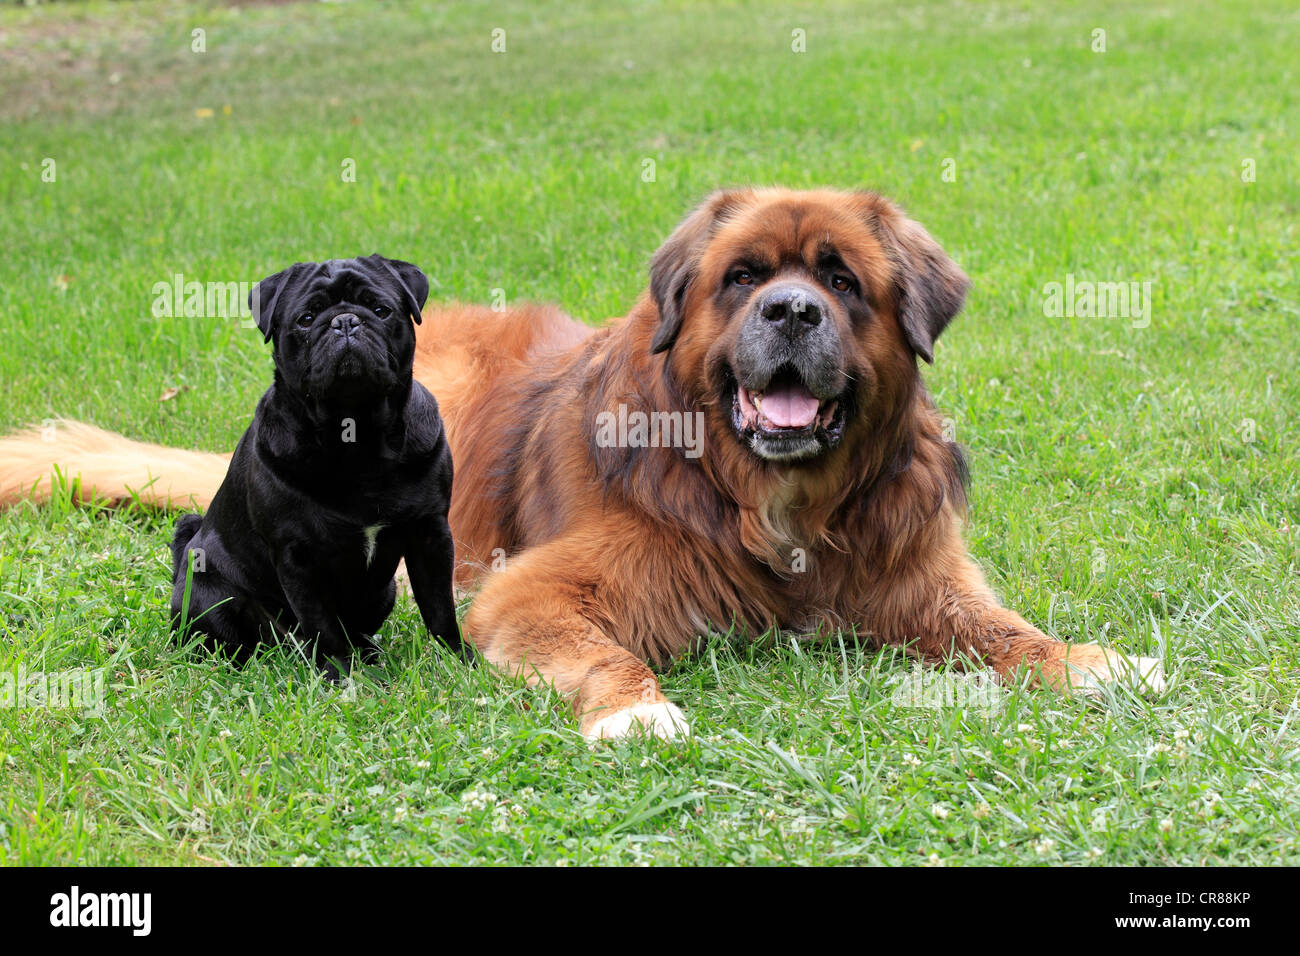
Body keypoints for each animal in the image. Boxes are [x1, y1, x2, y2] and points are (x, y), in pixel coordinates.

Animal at [0, 188, 1159, 738]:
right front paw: (632, 708)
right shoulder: (539, 585)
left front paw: (1083, 658)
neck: (768, 500)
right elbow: (591, 642)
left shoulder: (910, 572)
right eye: (744, 278)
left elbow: (995, 625)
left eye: (841, 279)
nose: (791, 311)